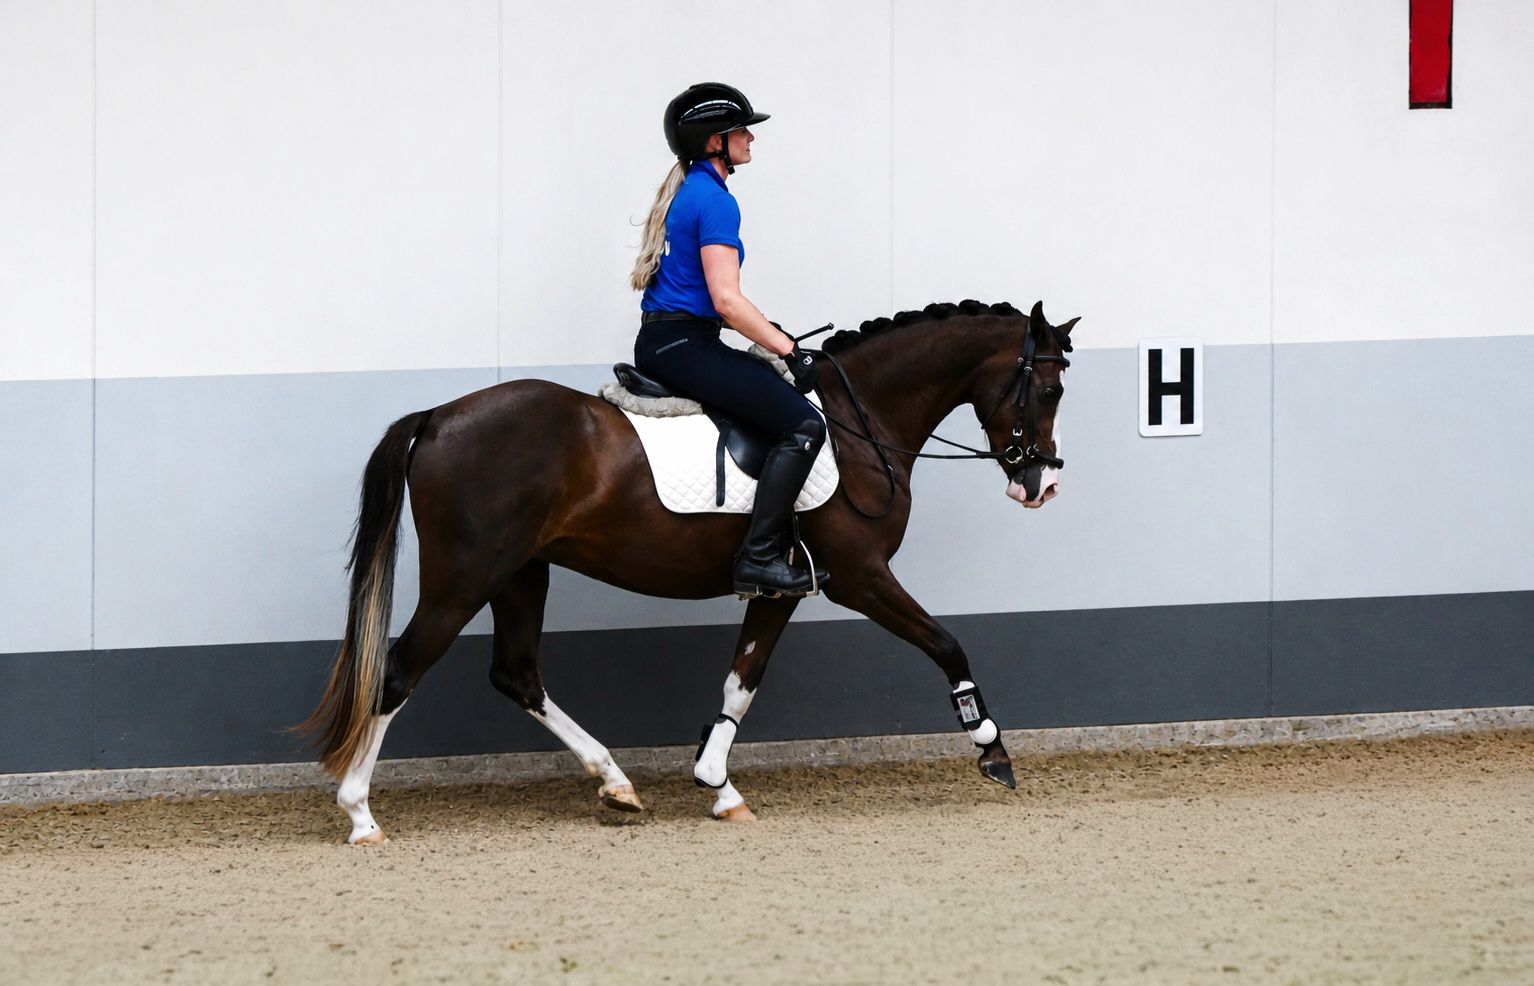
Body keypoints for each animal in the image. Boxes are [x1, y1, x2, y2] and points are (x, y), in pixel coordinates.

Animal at [300, 299, 1076, 843]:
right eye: (1048, 391)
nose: (1040, 484)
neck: (861, 424)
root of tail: (436, 417)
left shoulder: (780, 586)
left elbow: (742, 679)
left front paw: (717, 785)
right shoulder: (861, 576)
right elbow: (947, 644)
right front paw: (993, 753)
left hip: (521, 574)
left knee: (517, 674)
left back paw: (615, 783)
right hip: (465, 577)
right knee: (397, 672)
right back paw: (361, 817)